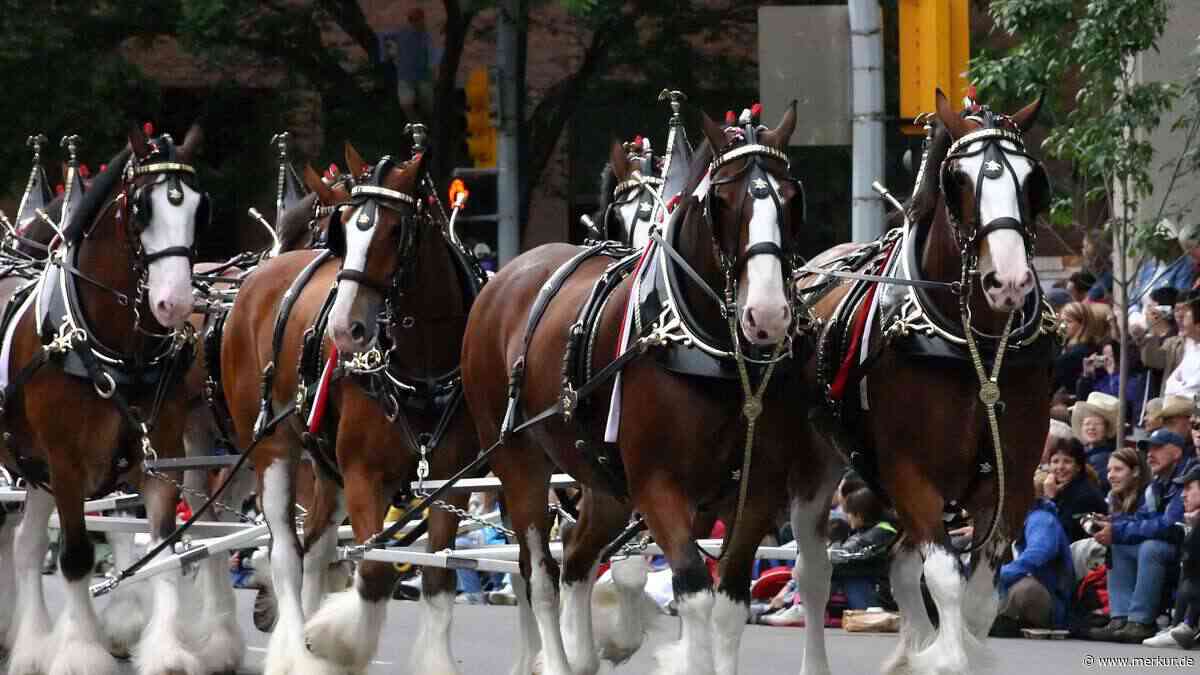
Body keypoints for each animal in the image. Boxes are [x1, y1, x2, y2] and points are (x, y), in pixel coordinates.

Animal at [0, 124, 210, 675]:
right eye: (141, 209)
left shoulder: (161, 459)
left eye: (199, 207)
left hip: (32, 467)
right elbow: (75, 557)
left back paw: (27, 644)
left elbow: (162, 553)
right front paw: (79, 653)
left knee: (25, 544)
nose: (174, 303)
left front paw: (166, 653)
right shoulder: (66, 463)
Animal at [219, 147, 484, 675]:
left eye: (395, 230)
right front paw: (331, 641)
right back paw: (294, 650)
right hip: (272, 449)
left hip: (326, 465)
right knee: (287, 554)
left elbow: (439, 580)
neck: (420, 371)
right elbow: (375, 570)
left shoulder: (452, 484)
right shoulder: (367, 477)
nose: (345, 329)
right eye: (344, 231)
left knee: (316, 548)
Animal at [460, 103, 821, 675]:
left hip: (604, 481)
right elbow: (692, 589)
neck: (714, 352)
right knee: (540, 573)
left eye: (791, 197)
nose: (766, 316)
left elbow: (728, 602)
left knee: (577, 557)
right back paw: (559, 659)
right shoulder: (658, 486)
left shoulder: (758, 490)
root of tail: (505, 278)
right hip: (518, 461)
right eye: (721, 201)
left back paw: (585, 654)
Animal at [794, 89, 1052, 675]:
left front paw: (956, 651)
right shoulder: (911, 471)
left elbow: (978, 597)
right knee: (815, 574)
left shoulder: (1011, 481)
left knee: (897, 566)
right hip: (815, 466)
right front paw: (947, 657)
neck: (974, 344)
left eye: (1033, 180)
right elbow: (945, 580)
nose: (1008, 281)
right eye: (957, 180)